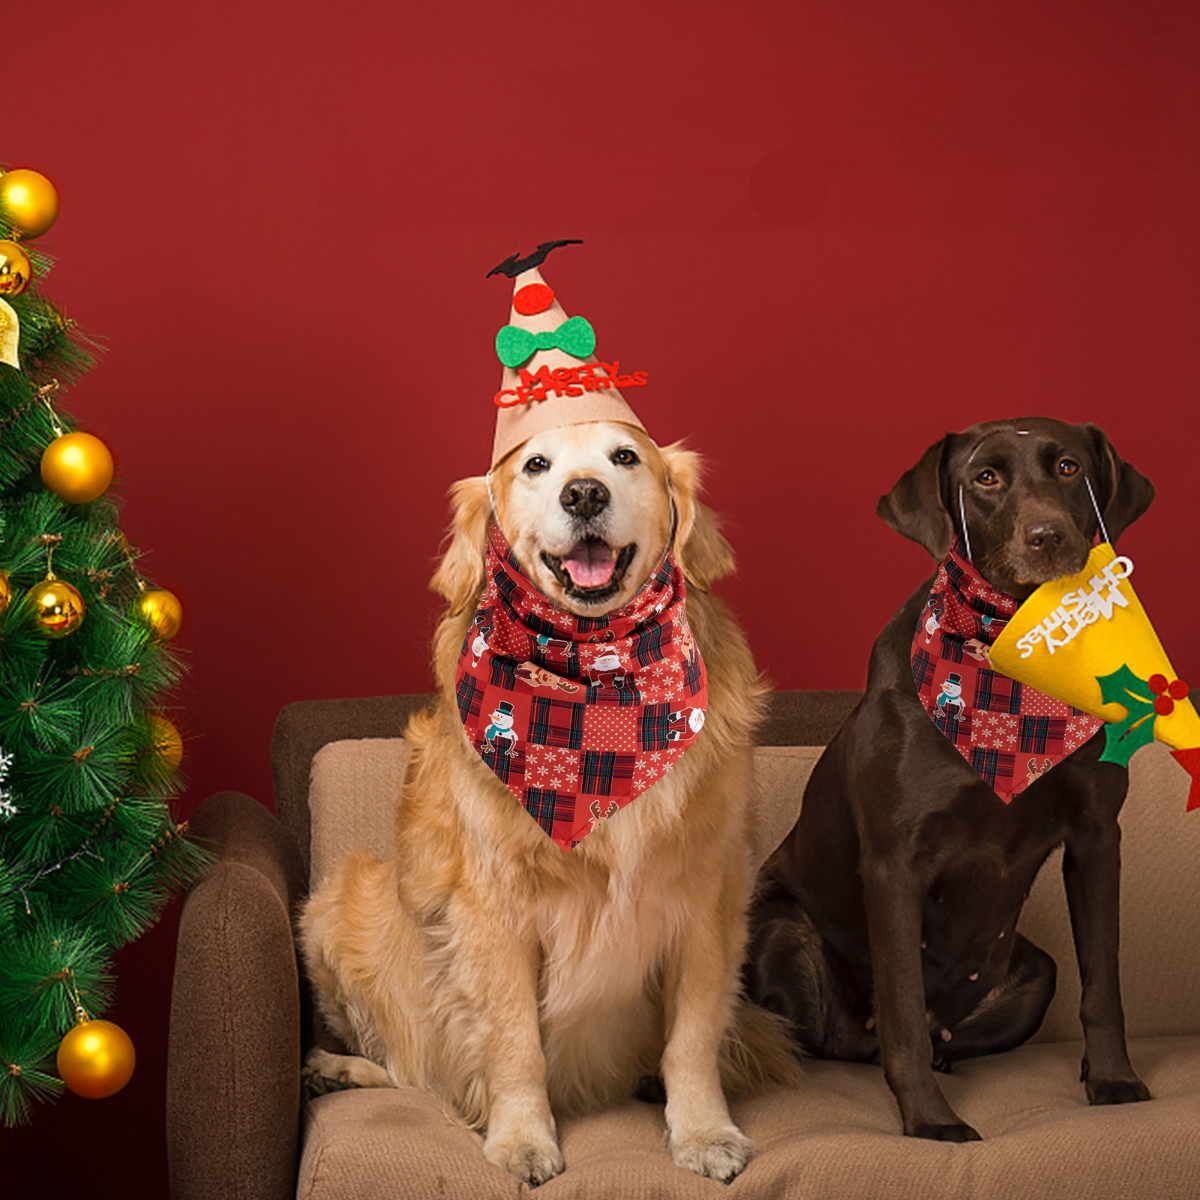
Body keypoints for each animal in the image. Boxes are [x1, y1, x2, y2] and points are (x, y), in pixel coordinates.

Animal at [748, 417, 1152, 1137]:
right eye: (984, 478)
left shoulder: (1097, 836)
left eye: (1070, 467)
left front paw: (1112, 1079)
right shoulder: (894, 862)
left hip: (1034, 973)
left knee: (948, 1034)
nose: (1049, 536)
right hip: (783, 932)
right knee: (837, 1037)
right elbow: (904, 1005)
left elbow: (1104, 983)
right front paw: (930, 1120)